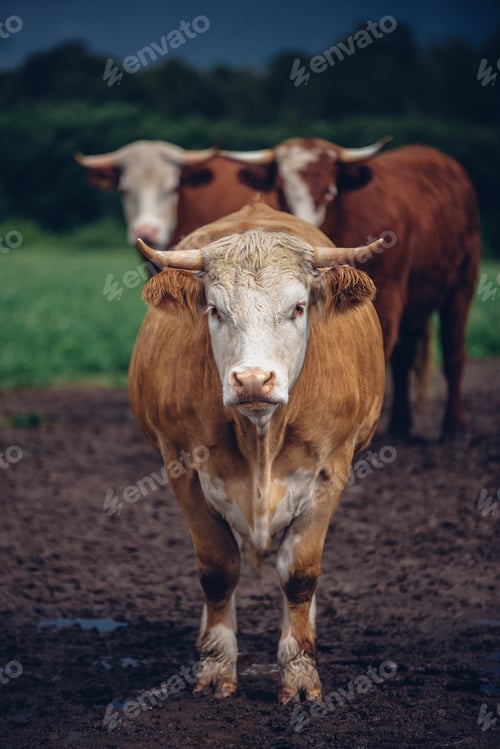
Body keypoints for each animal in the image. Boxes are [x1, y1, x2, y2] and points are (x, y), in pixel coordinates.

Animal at [128, 202, 385, 703]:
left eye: (298, 307)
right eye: (214, 309)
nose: (251, 381)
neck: (261, 438)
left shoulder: (332, 469)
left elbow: (300, 573)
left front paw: (300, 673)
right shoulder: (182, 468)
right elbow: (217, 568)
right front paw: (215, 666)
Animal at [223, 140, 481, 439]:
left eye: (330, 191)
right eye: (281, 192)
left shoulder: (387, 300)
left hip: (461, 287)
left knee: (453, 351)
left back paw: (454, 426)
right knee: (405, 359)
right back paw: (400, 425)